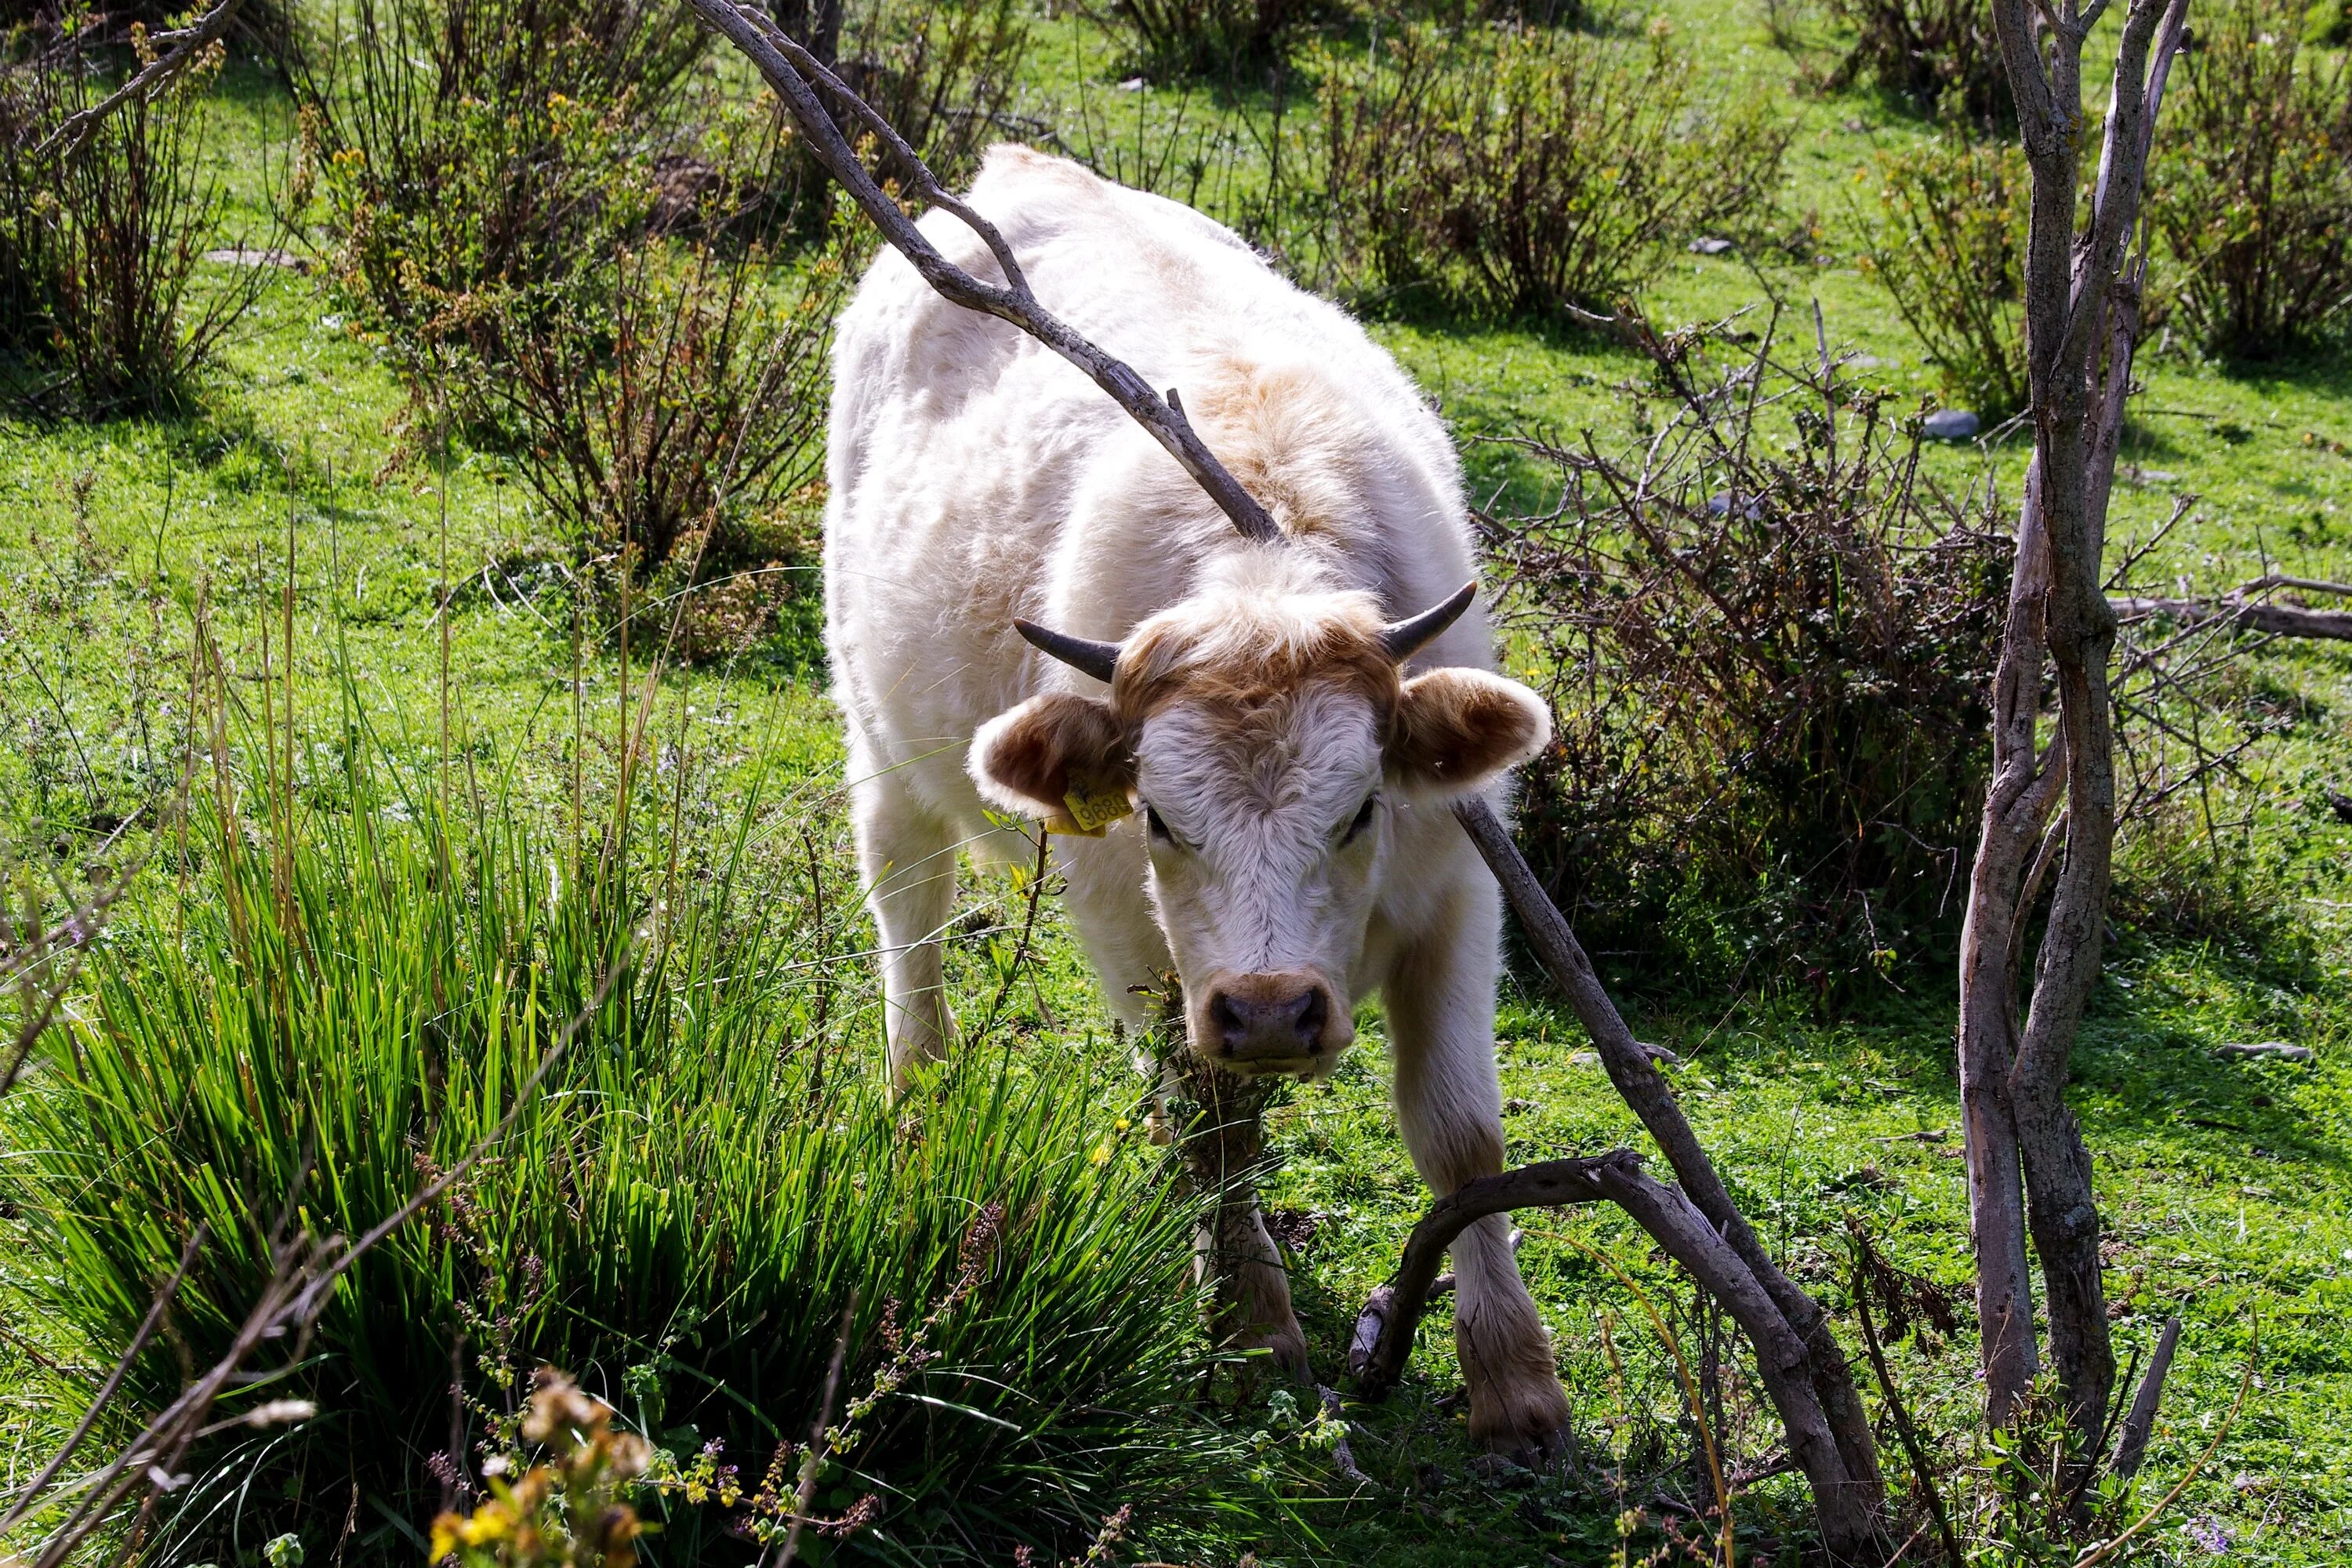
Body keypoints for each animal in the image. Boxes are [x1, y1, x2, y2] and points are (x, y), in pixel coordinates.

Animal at [818, 147, 1571, 1457]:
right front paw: (1250, 1336)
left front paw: (1514, 1381)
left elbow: (1461, 1136)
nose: (1270, 1012)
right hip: (880, 736)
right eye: (1165, 819)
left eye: (1361, 811)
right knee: (909, 910)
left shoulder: (1459, 889)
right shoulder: (1124, 915)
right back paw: (921, 1091)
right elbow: (1211, 1129)